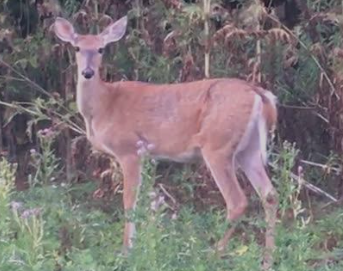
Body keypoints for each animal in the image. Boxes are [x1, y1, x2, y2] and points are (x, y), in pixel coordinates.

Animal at [54, 14, 280, 268]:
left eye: (101, 48)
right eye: (77, 48)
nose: (88, 72)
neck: (104, 105)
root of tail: (260, 95)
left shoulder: (129, 149)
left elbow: (129, 200)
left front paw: (126, 251)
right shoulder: (146, 157)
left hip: (217, 145)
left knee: (238, 200)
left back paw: (212, 255)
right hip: (248, 149)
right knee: (270, 195)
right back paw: (267, 260)